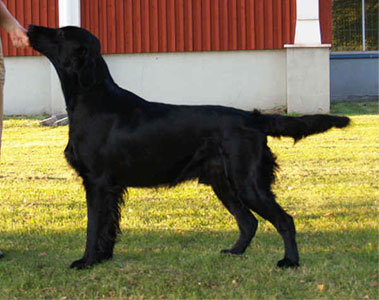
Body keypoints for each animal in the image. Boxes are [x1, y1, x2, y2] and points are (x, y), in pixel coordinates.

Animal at [28, 25, 352, 270]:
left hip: (248, 182)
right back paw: (235, 252)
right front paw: (103, 258)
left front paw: (86, 261)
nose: (30, 27)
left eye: (60, 33)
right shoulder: (110, 187)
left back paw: (290, 262)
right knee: (248, 222)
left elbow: (93, 226)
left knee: (284, 219)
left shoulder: (96, 181)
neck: (92, 98)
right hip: (224, 183)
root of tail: (252, 117)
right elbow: (108, 227)